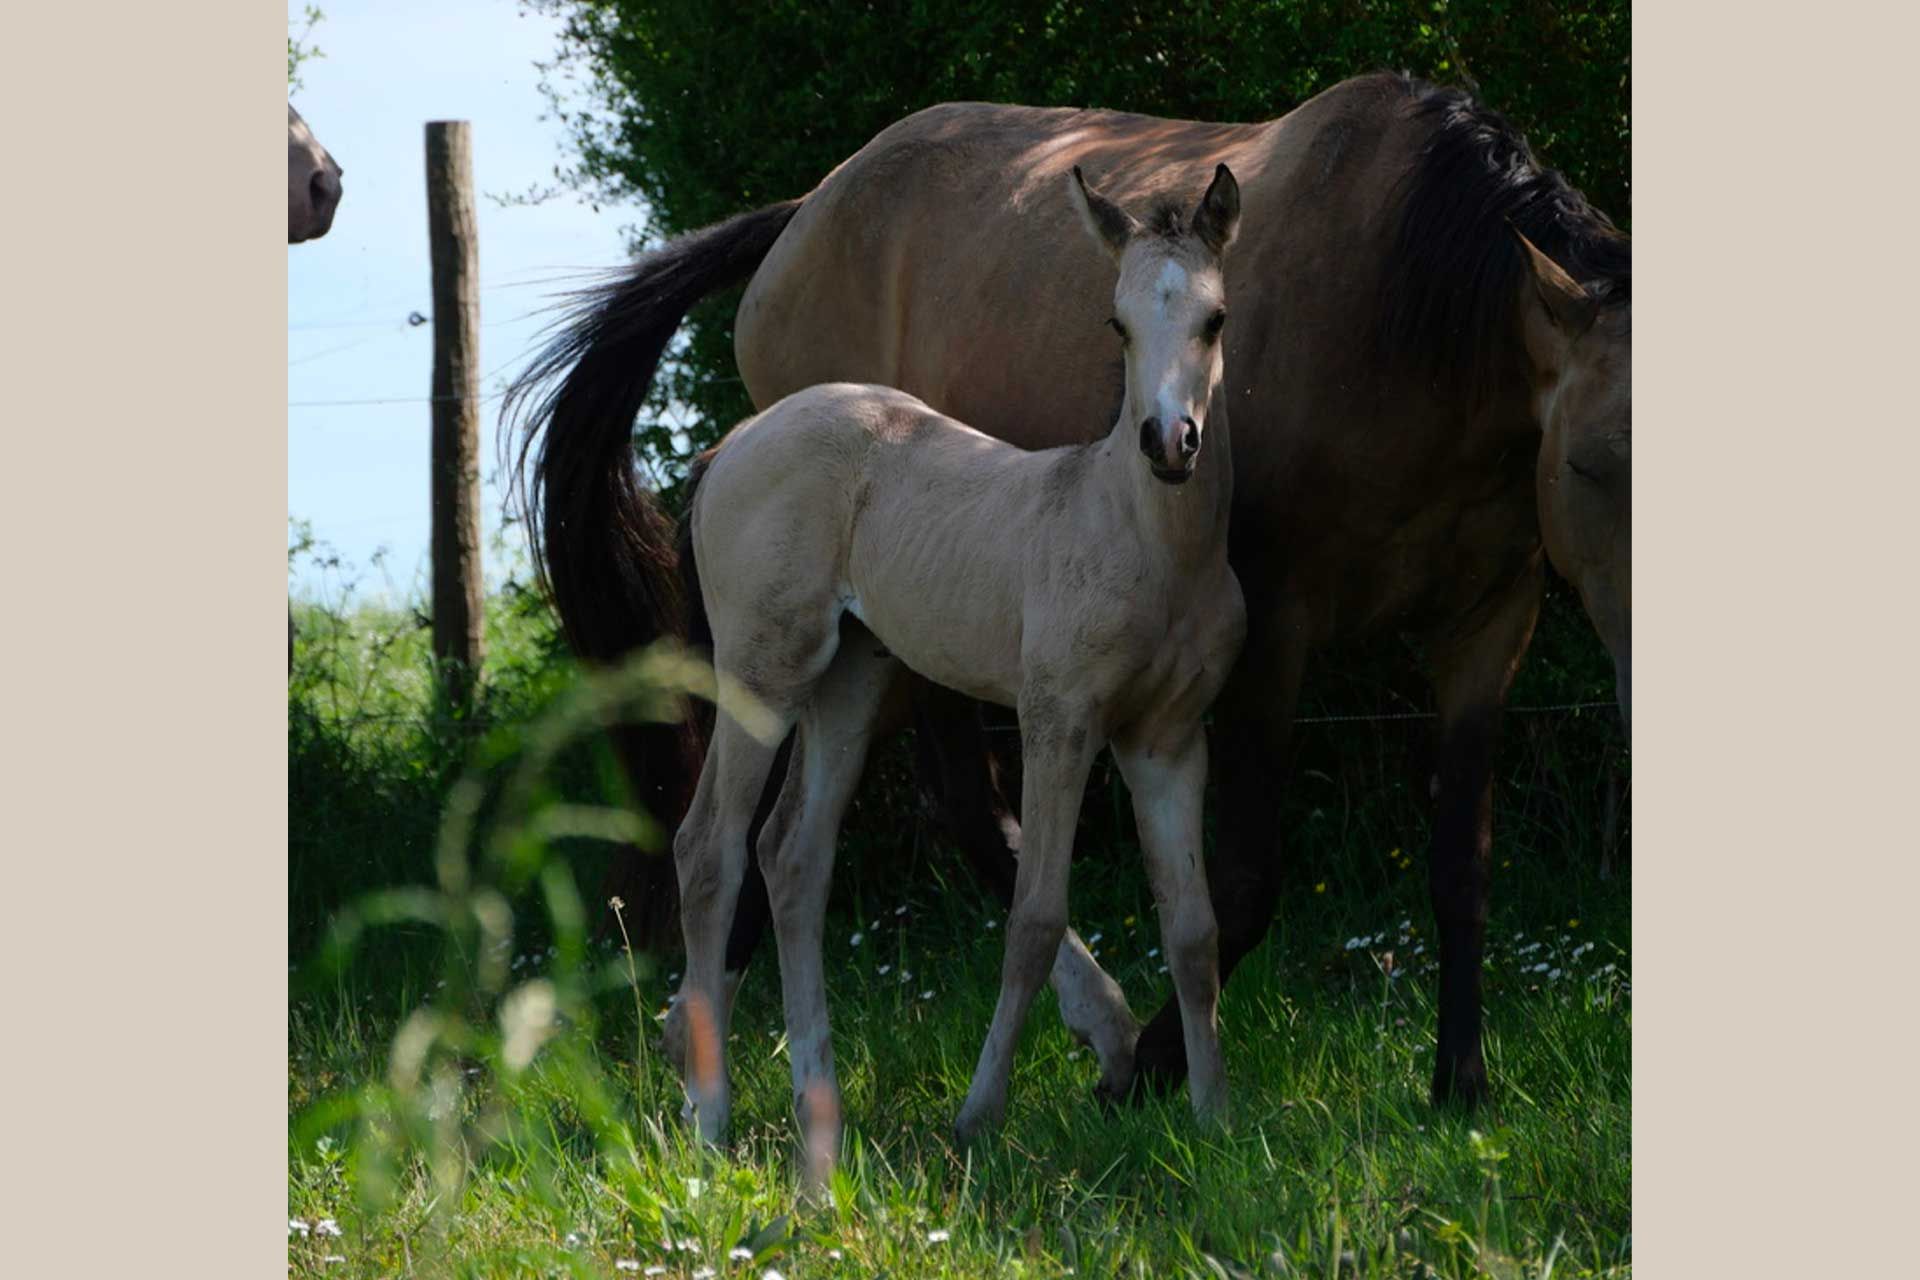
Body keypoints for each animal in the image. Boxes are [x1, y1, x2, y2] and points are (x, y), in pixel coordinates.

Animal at [503, 70, 1628, 1113]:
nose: (1170, 440)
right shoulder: (1264, 636)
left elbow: (1459, 866)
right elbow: (1241, 878)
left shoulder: (1489, 627)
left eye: (1222, 319)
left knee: (798, 842)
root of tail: (805, 210)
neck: (1405, 316)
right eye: (1590, 466)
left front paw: (1460, 1085)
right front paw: (1151, 1071)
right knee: (877, 817)